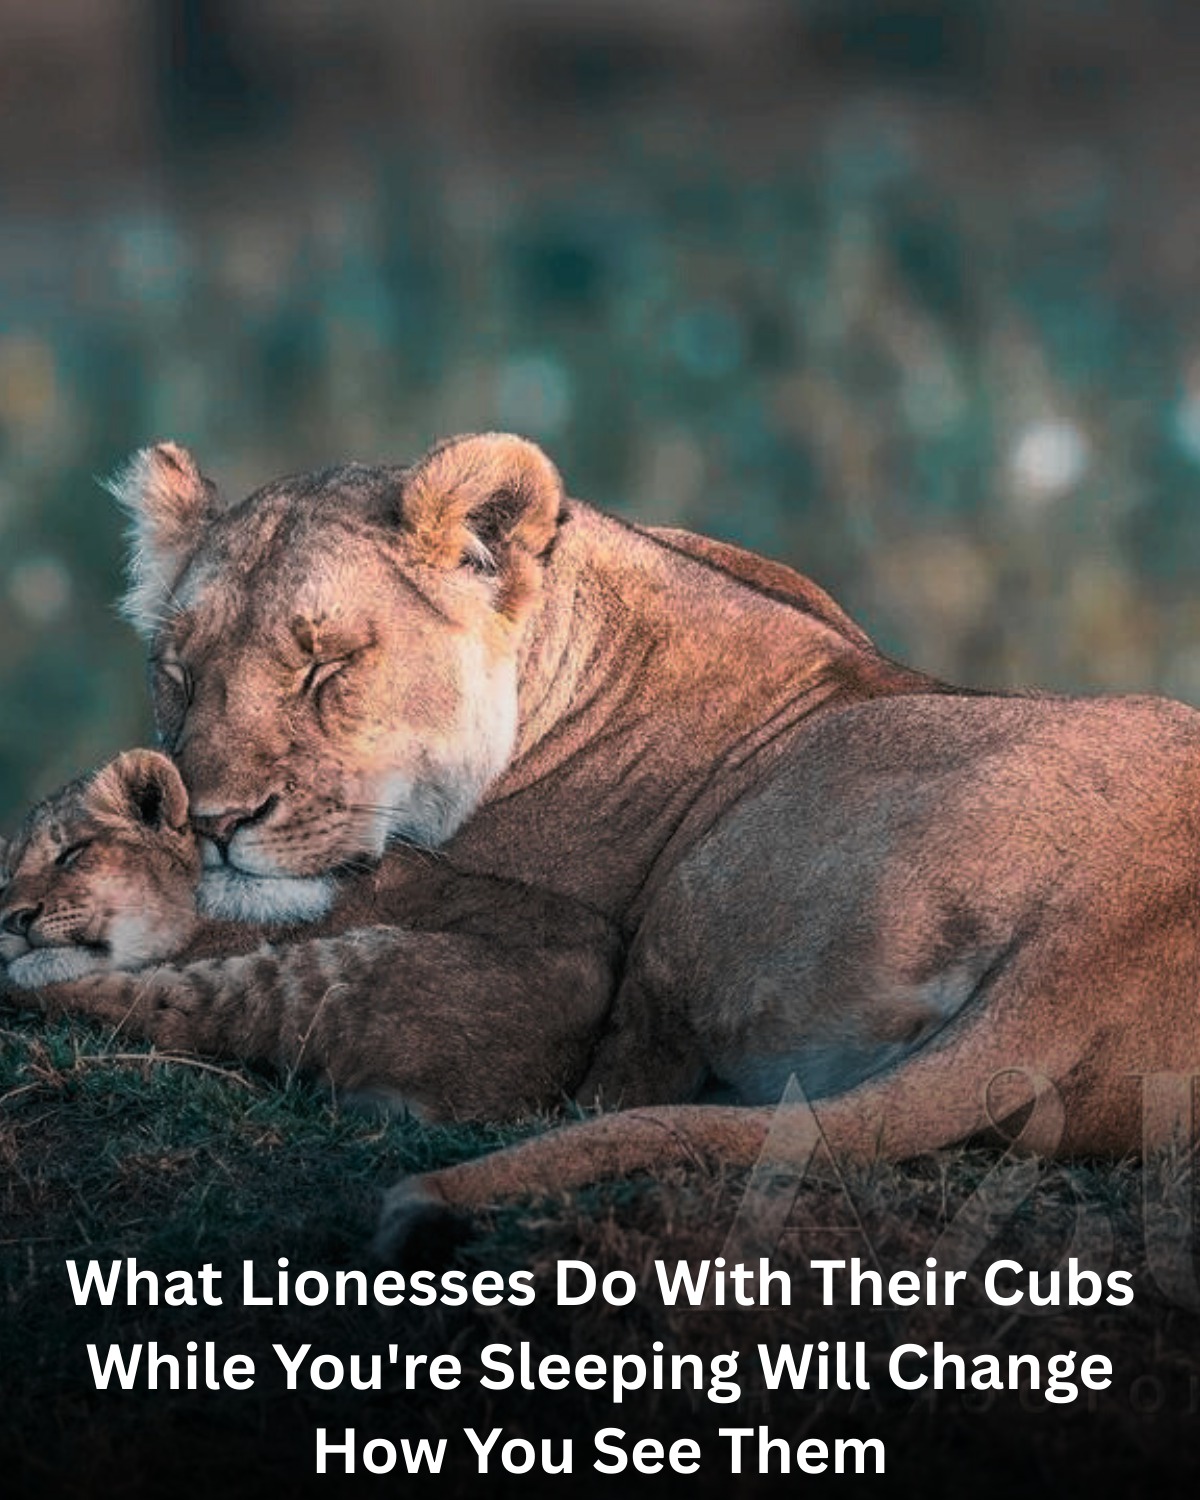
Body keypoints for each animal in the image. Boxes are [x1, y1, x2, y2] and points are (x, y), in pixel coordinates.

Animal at [12, 431, 1200, 1246]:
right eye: (179, 673)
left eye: (326, 666)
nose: (209, 825)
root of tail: (1101, 934)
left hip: (710, 872)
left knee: (604, 1088)